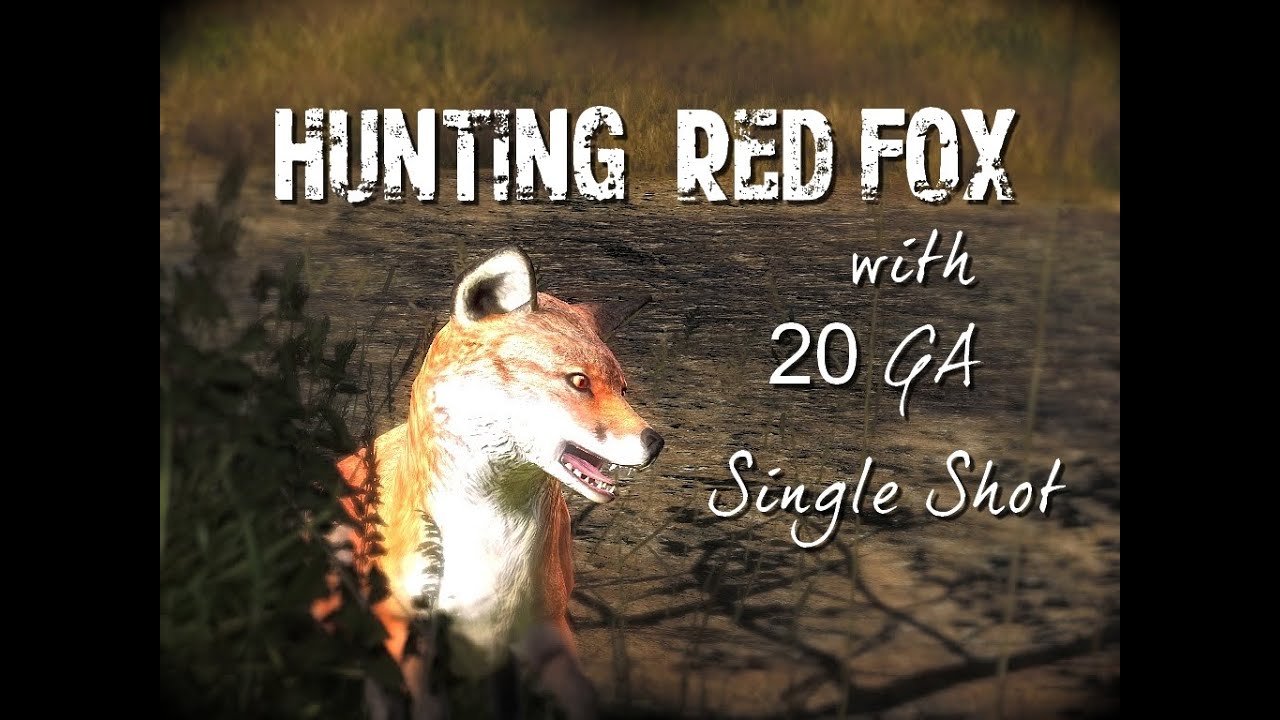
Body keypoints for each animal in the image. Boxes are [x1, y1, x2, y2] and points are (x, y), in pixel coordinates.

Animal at [311, 246, 664, 720]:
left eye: (623, 389)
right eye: (579, 381)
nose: (655, 442)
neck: (492, 546)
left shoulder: (543, 630)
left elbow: (581, 699)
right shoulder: (411, 632)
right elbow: (421, 704)